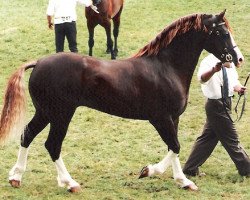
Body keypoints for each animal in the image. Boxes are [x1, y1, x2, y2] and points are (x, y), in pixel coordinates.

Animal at [0, 10, 242, 192]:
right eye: (222, 32)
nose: (238, 59)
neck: (165, 67)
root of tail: (39, 62)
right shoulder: (161, 119)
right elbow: (175, 145)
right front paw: (165, 176)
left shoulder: (173, 119)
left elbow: (173, 148)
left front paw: (169, 177)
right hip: (61, 114)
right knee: (52, 145)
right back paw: (69, 183)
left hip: (45, 112)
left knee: (27, 135)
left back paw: (16, 178)